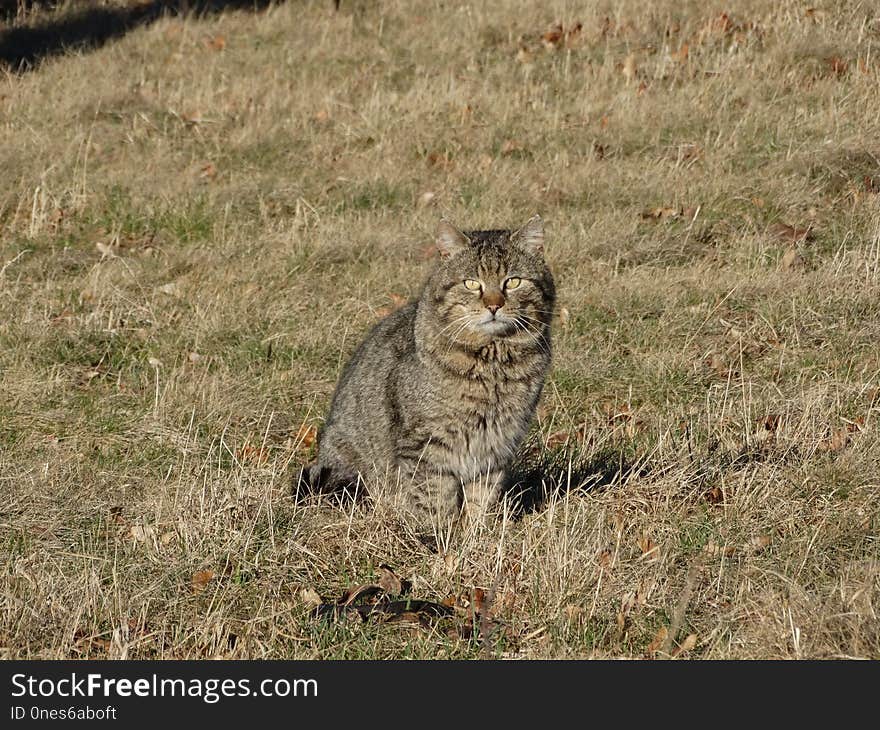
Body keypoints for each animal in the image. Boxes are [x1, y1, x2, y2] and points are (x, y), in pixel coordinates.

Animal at [300, 216, 552, 524]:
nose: (494, 305)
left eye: (513, 281)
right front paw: (438, 533)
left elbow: (482, 497)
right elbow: (434, 498)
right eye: (472, 284)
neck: (493, 363)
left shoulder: (497, 443)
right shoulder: (427, 445)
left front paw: (479, 531)